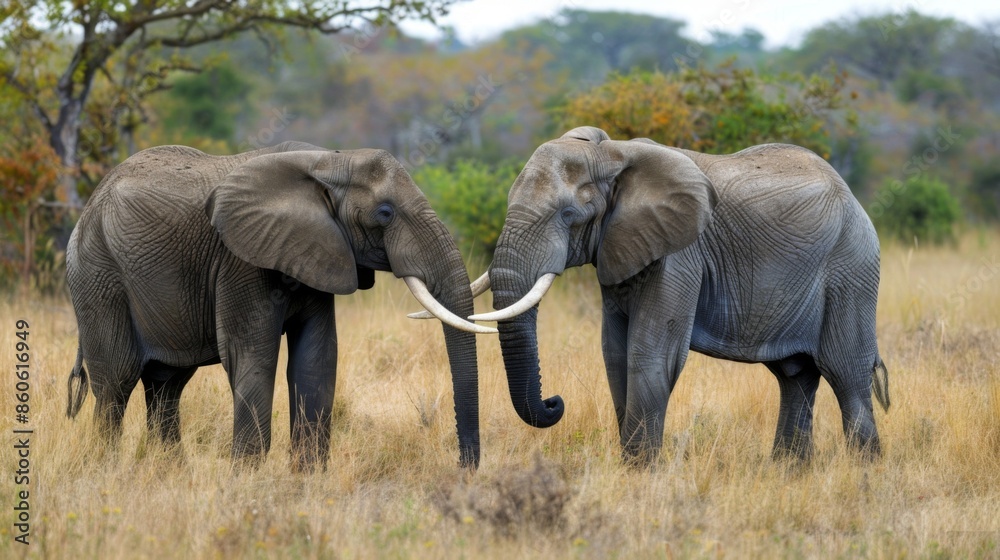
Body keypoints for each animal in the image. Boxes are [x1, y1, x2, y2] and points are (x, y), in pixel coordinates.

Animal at [65, 141, 494, 470]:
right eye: (385, 213)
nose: (464, 466)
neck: (329, 160)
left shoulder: (318, 252)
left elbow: (317, 358)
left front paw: (307, 478)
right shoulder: (240, 259)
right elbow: (252, 356)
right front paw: (247, 479)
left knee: (167, 384)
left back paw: (170, 472)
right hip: (97, 274)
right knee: (116, 381)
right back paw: (105, 468)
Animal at [469, 126, 890, 464]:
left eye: (569, 214)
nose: (555, 402)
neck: (613, 153)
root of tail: (855, 201)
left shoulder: (681, 255)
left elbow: (651, 353)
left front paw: (640, 471)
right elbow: (614, 353)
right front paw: (633, 466)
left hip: (851, 269)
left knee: (847, 375)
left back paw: (863, 472)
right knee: (795, 377)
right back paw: (789, 472)